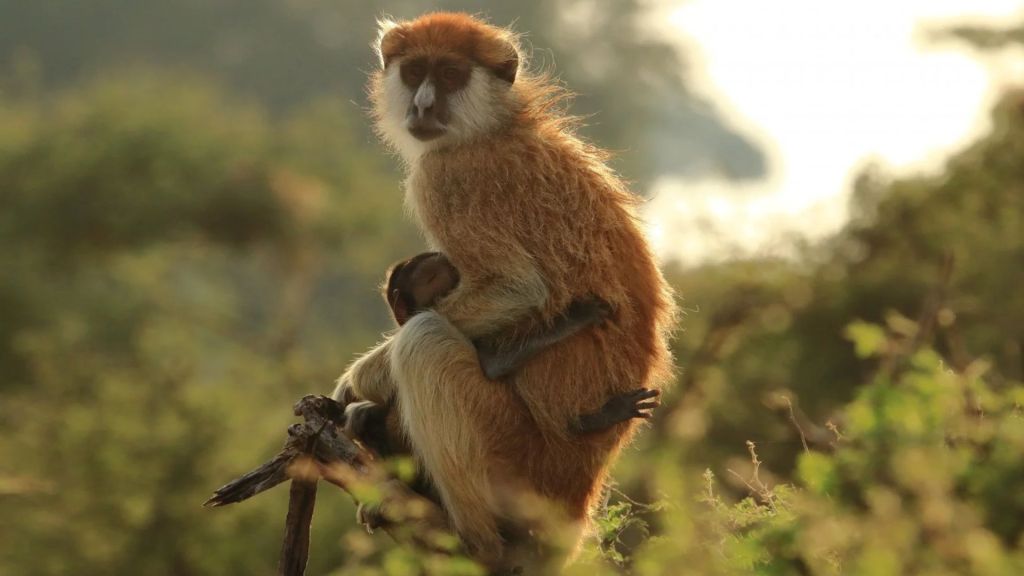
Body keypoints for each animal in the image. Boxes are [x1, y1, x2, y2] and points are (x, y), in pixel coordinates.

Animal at [333, 13, 676, 569]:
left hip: (520, 467)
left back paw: (473, 540)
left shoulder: (445, 177)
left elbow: (518, 289)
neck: (496, 124)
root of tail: (577, 503)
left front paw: (358, 381)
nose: (422, 105)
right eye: (415, 72)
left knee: (426, 341)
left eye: (451, 75)